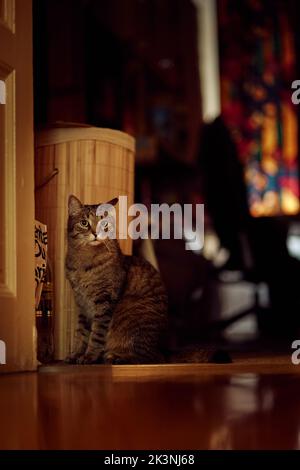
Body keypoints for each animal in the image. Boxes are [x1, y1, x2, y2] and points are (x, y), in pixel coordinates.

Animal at [65, 195, 230, 364]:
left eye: (104, 223)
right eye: (84, 223)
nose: (95, 233)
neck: (83, 261)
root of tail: (162, 349)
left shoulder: (105, 301)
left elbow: (96, 335)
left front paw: (90, 356)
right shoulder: (82, 304)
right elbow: (81, 333)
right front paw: (76, 354)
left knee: (150, 358)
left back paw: (116, 357)